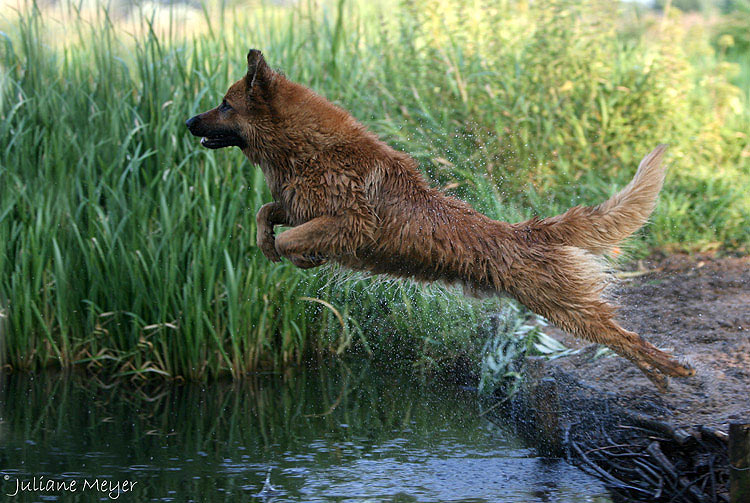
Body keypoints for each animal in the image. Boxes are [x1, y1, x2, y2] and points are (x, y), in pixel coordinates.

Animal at [187, 50, 692, 390]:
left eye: (226, 105)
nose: (190, 121)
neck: (305, 149)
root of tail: (529, 231)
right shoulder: (299, 204)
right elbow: (267, 213)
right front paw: (268, 242)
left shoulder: (352, 221)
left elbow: (292, 238)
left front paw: (300, 256)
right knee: (622, 338)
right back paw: (662, 377)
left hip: (564, 305)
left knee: (627, 337)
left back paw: (671, 369)